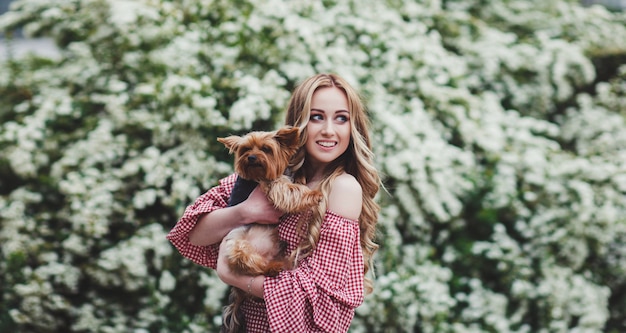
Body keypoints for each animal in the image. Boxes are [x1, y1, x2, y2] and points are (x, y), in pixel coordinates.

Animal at [217, 125, 322, 332]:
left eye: (266, 149)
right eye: (245, 149)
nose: (251, 157)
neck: (258, 174)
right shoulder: (273, 186)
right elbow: (292, 191)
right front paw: (314, 194)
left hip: (278, 249)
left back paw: (277, 265)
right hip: (237, 246)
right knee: (251, 265)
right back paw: (270, 269)